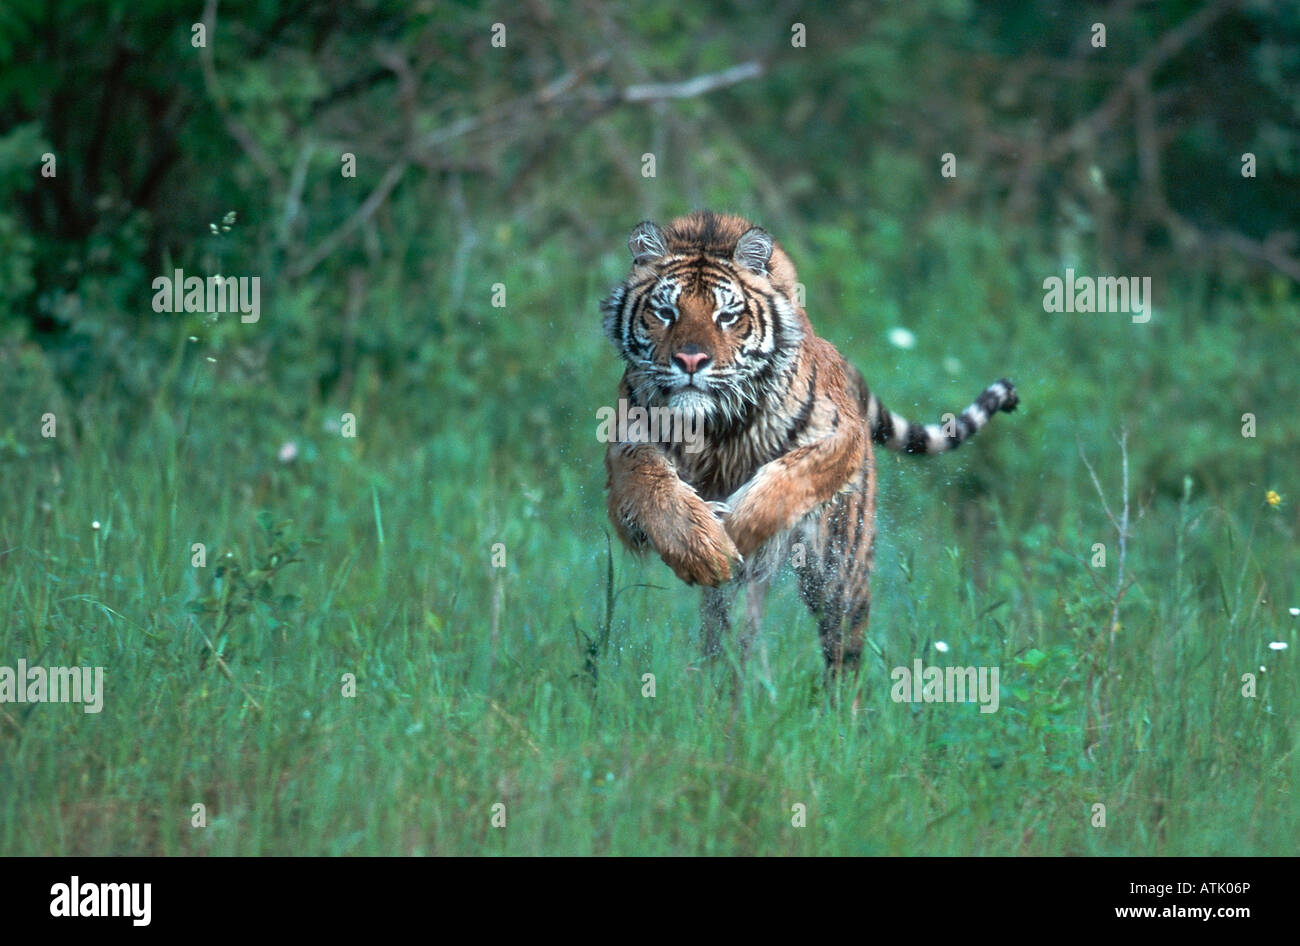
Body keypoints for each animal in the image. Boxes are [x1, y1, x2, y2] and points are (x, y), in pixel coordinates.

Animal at [598, 209, 1013, 675]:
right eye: (666, 312)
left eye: (727, 316)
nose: (690, 360)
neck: (713, 427)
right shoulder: (624, 449)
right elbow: (653, 485)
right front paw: (703, 550)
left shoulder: (839, 437)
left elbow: (789, 479)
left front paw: (735, 531)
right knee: (726, 640)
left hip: (840, 568)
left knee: (843, 649)